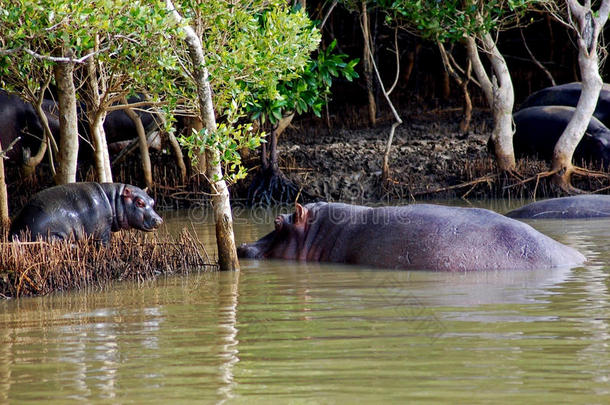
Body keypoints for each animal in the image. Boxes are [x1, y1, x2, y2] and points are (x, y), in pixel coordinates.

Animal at [10, 181, 162, 241]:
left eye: (152, 201)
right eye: (140, 202)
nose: (159, 220)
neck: (114, 199)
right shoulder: (103, 231)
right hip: (53, 236)